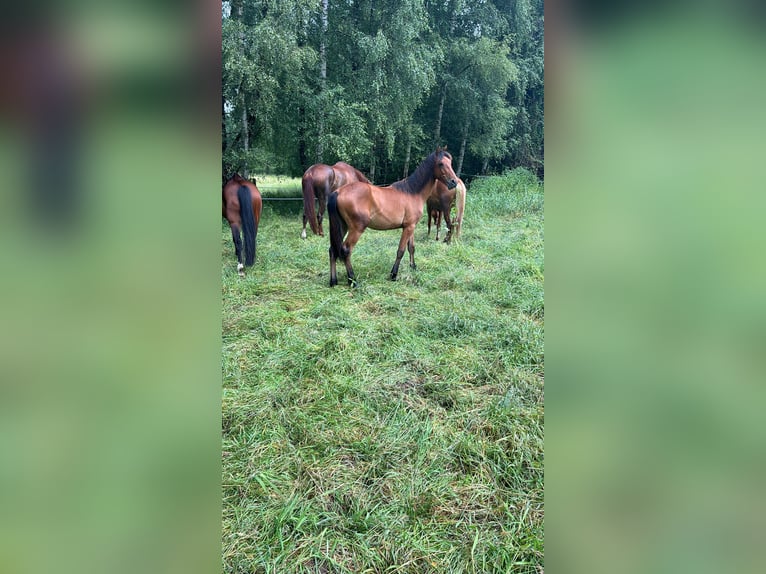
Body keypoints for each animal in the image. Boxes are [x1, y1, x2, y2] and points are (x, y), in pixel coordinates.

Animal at [328, 148, 460, 288]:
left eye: (450, 163)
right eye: (441, 164)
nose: (454, 182)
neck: (412, 192)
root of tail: (338, 192)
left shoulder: (411, 227)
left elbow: (411, 248)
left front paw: (413, 267)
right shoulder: (408, 227)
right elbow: (400, 251)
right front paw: (393, 275)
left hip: (342, 226)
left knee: (333, 250)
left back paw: (333, 281)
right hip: (356, 229)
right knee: (346, 250)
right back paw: (353, 280)